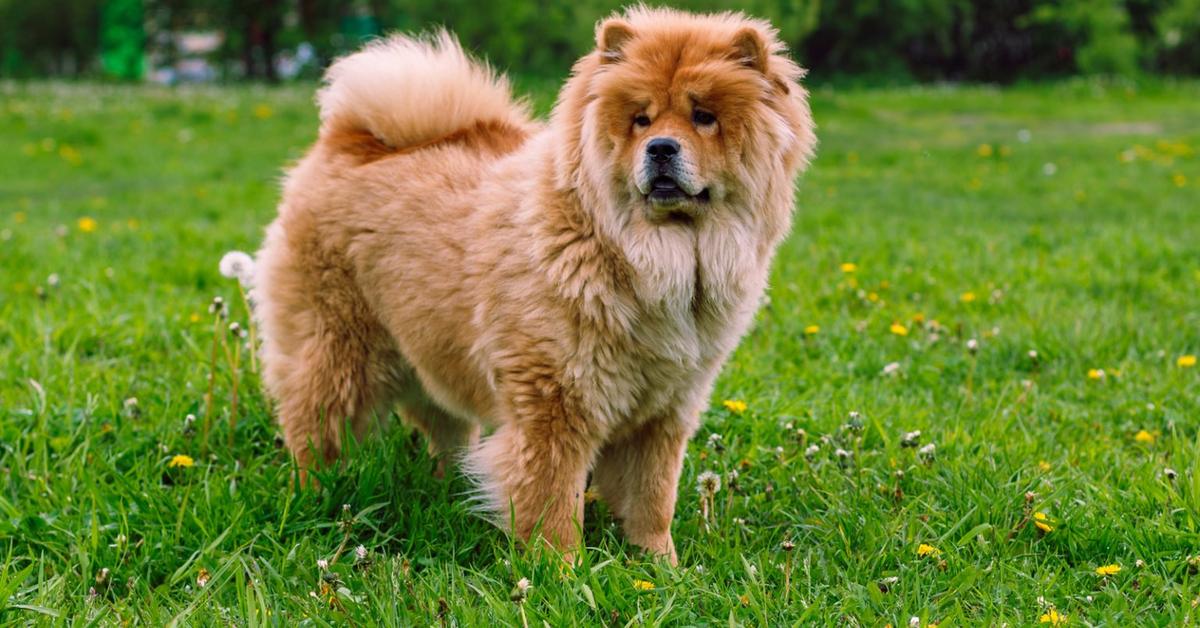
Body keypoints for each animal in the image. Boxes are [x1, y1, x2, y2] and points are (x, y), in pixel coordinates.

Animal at [253, 6, 816, 564]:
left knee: (444, 429)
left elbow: (653, 498)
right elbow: (553, 500)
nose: (660, 147)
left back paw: (446, 488)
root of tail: (348, 138)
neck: (649, 258)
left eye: (704, 117)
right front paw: (562, 571)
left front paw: (661, 566)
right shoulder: (555, 402)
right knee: (314, 426)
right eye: (641, 120)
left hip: (429, 349)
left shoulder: (665, 409)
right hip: (338, 346)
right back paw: (316, 496)